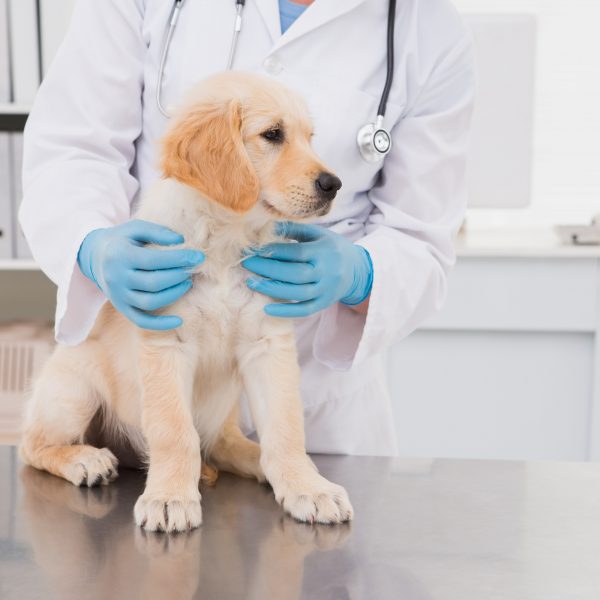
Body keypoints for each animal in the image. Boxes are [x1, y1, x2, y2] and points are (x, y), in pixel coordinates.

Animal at [21, 71, 354, 536]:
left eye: (309, 138)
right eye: (273, 134)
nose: (333, 185)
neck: (226, 239)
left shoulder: (269, 347)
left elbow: (286, 428)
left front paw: (307, 486)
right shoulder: (166, 345)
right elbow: (174, 432)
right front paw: (169, 498)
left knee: (228, 444)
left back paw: (257, 462)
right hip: (74, 388)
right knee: (33, 444)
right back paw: (85, 459)